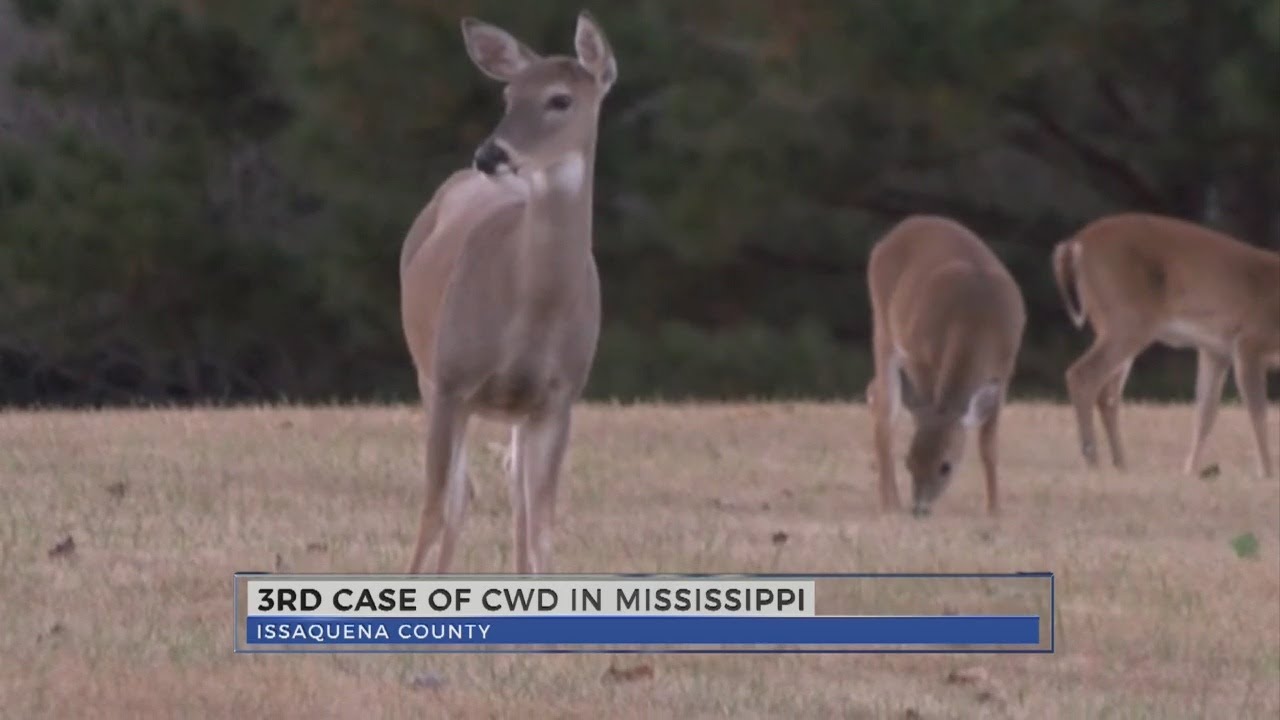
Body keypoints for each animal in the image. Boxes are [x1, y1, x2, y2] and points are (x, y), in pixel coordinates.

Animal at [398, 11, 617, 575]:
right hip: (428, 370)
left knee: (513, 496)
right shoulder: (452, 380)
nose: (489, 154)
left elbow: (542, 526)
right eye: (507, 95)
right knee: (460, 495)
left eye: (560, 99)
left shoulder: (560, 395)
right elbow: (435, 505)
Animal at [866, 216, 1027, 518]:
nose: (919, 509)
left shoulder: (1005, 369)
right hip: (883, 326)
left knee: (874, 392)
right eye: (909, 461)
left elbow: (989, 444)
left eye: (945, 467)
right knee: (885, 411)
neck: (978, 322)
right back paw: (888, 503)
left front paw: (994, 508)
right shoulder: (921, 357)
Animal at [1052, 212, 1280, 478]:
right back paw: (1093, 461)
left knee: (1107, 394)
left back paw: (1121, 464)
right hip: (1127, 320)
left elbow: (1205, 413)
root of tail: (1074, 244)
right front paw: (1267, 473)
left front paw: (1189, 470)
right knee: (1082, 375)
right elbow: (1258, 412)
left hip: (1117, 325)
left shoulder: (1215, 350)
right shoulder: (1249, 342)